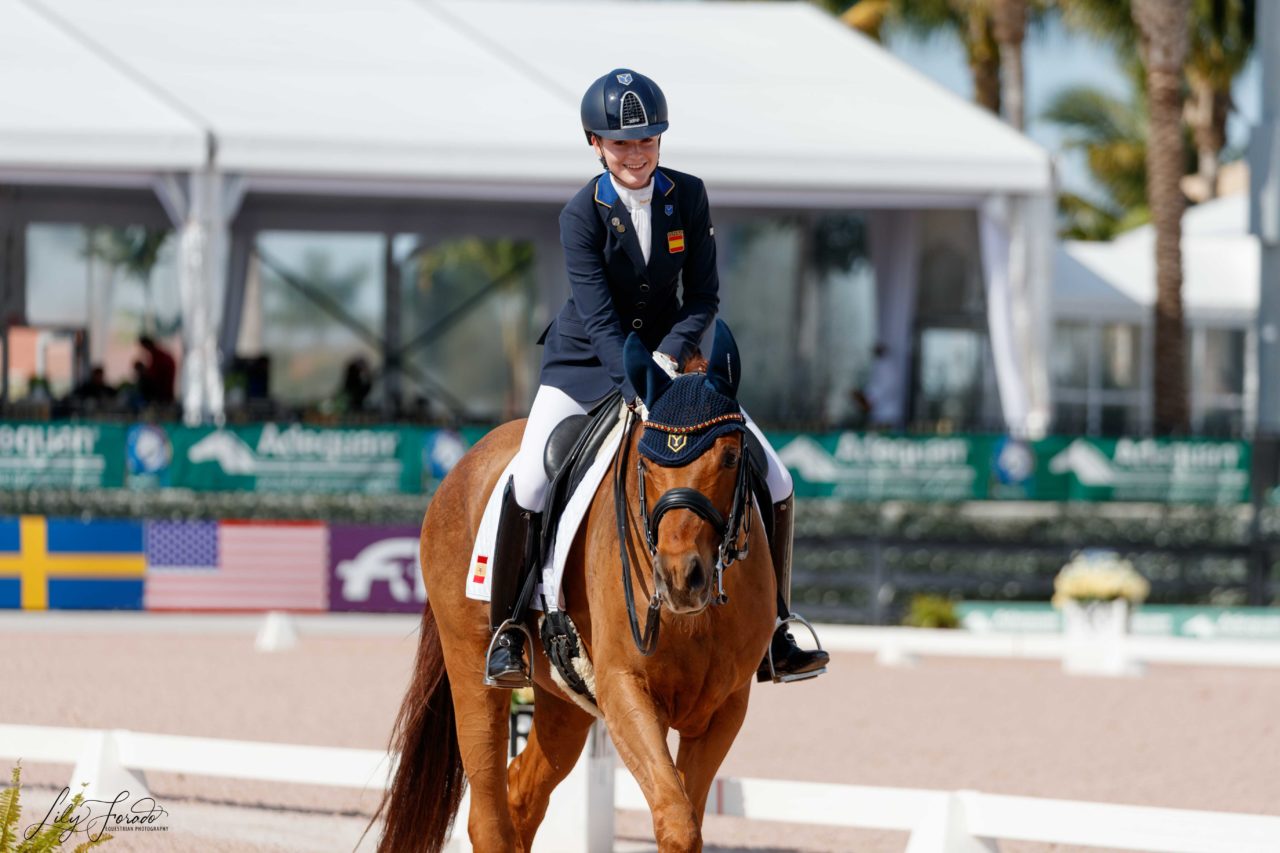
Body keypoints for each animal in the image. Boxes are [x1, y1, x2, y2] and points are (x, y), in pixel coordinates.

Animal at [366, 322, 773, 845]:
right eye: (646, 462)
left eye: (730, 457)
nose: (681, 579)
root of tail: (464, 464)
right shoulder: (625, 691)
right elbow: (677, 820)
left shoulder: (724, 709)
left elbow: (689, 816)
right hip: (473, 667)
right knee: (489, 815)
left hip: (567, 701)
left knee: (522, 796)